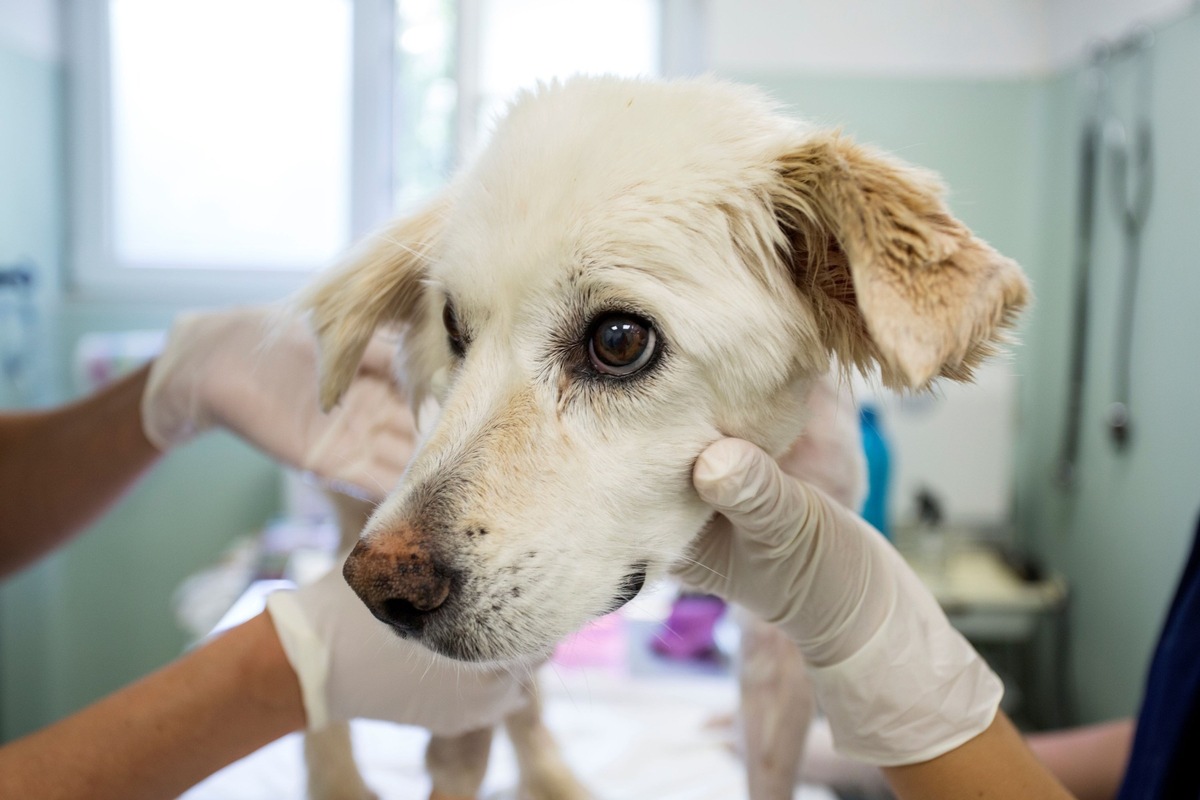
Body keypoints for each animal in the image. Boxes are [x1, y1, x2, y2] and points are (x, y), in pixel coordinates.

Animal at [295, 74, 1027, 800]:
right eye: (451, 326)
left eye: (620, 340)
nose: (381, 589)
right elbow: (457, 759)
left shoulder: (789, 630)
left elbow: (771, 764)